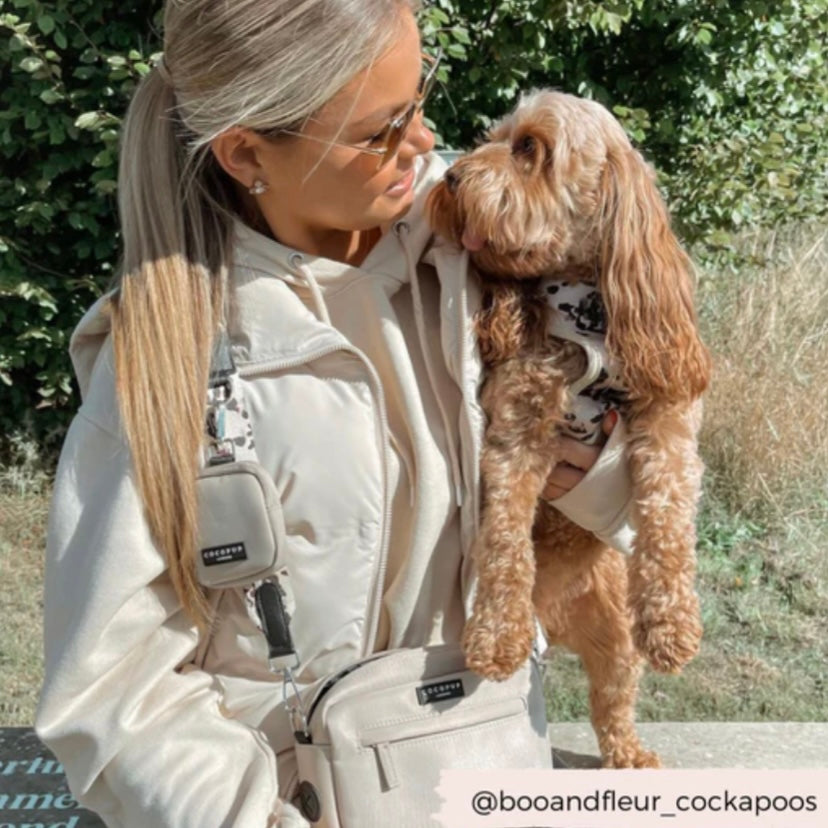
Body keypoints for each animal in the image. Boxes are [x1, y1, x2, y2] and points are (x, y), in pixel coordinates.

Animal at [426, 87, 712, 768]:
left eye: (530, 147)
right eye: (494, 138)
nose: (451, 178)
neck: (583, 311)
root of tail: (556, 624)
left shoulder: (669, 420)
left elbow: (667, 516)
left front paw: (672, 622)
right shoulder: (516, 434)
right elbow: (505, 541)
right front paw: (496, 636)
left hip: (615, 642)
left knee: (612, 702)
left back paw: (631, 757)